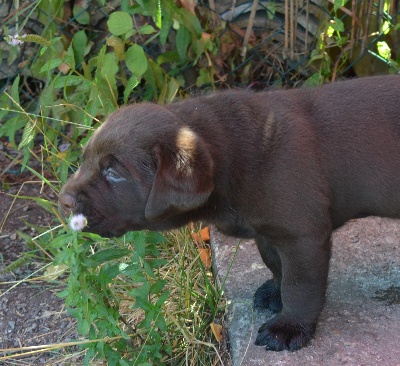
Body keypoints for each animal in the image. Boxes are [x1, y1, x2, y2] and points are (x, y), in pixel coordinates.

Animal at [58, 75, 400, 352]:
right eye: (84, 160)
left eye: (114, 173)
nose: (63, 200)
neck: (235, 158)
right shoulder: (267, 231)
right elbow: (275, 264)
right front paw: (274, 292)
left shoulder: (302, 236)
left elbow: (300, 285)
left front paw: (288, 327)